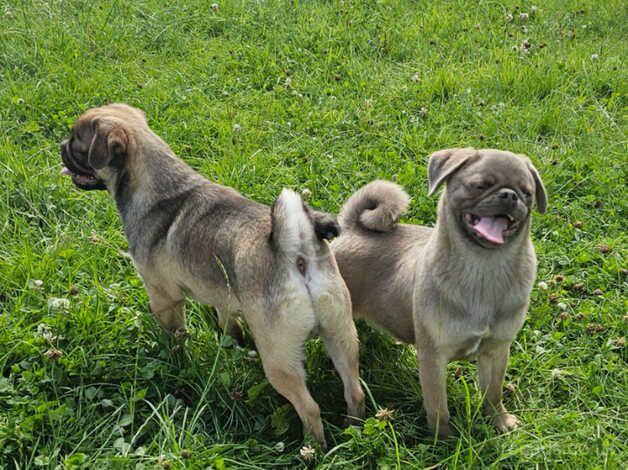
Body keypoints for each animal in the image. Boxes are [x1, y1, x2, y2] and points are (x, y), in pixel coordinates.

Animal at [60, 103, 364, 448]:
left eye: (77, 143)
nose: (62, 147)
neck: (160, 187)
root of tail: (297, 253)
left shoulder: (164, 299)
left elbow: (175, 337)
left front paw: (175, 360)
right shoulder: (224, 297)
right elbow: (228, 322)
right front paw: (232, 340)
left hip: (279, 359)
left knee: (309, 408)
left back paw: (313, 447)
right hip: (342, 337)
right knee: (354, 391)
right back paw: (353, 429)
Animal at [334, 148, 544, 436]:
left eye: (527, 193)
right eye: (480, 185)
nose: (510, 195)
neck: (483, 266)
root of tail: (351, 229)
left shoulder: (496, 350)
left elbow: (493, 393)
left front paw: (498, 420)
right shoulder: (433, 359)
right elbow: (438, 408)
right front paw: (442, 439)